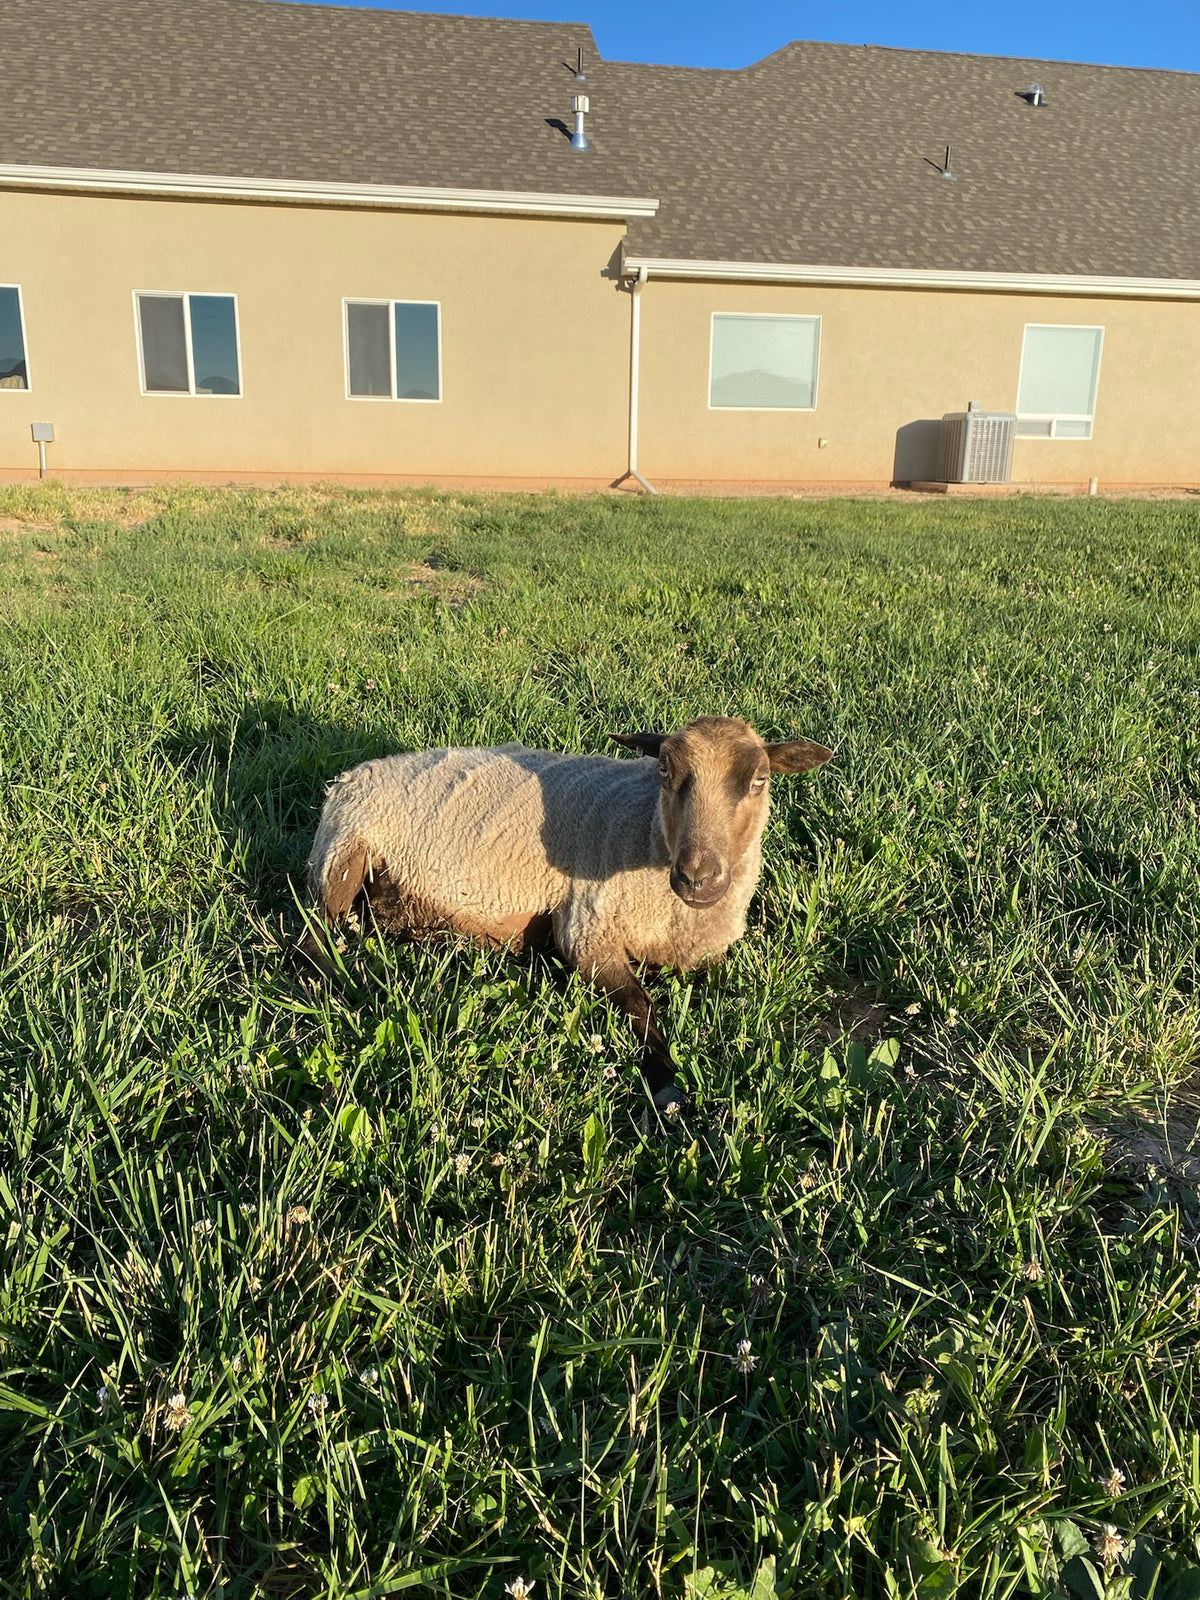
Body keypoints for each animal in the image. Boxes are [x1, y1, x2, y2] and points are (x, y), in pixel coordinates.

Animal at [306, 716, 832, 1108]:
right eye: (663, 770)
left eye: (759, 780)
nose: (696, 877)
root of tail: (352, 774)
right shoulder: (589, 930)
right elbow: (641, 1005)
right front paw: (666, 1085)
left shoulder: (706, 953)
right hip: (342, 855)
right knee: (313, 938)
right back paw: (333, 987)